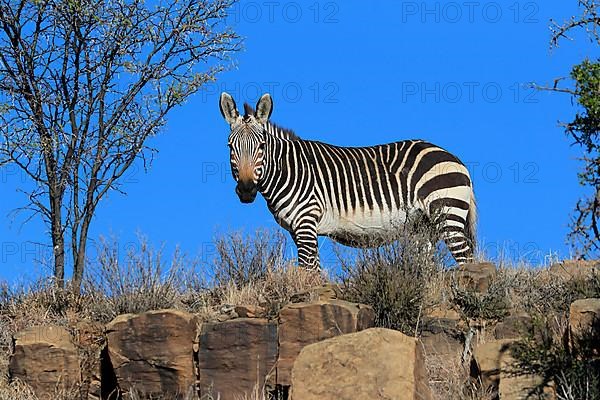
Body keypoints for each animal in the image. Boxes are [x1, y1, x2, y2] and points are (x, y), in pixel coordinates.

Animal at [218, 91, 476, 268]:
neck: (288, 169)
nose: (246, 189)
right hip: (423, 227)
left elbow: (308, 270)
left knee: (467, 259)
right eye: (230, 147)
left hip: (446, 212)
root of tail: (453, 157)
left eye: (261, 146)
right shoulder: (298, 229)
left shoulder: (306, 222)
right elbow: (314, 270)